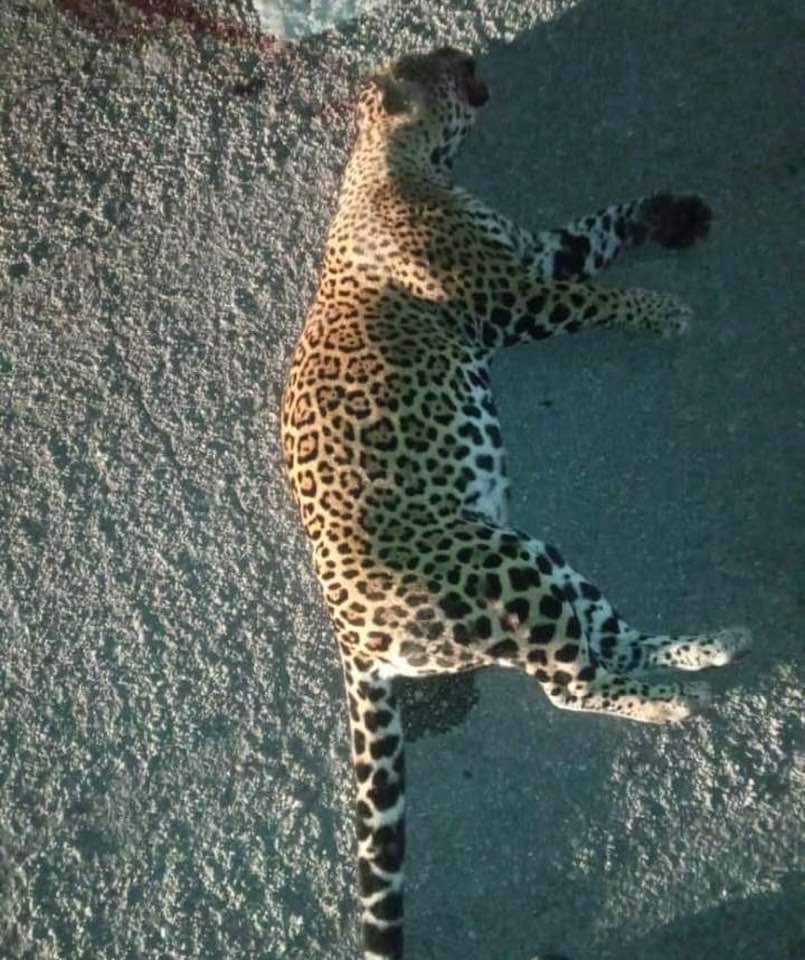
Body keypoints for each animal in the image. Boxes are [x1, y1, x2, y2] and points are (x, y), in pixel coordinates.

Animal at [281, 46, 750, 960]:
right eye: (436, 64)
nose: (467, 55)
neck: (393, 164)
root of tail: (349, 634)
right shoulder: (508, 295)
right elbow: (594, 298)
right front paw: (658, 309)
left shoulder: (537, 252)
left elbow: (600, 227)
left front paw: (671, 212)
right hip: (503, 570)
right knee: (567, 686)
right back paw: (667, 700)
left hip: (536, 558)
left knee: (607, 641)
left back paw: (707, 648)